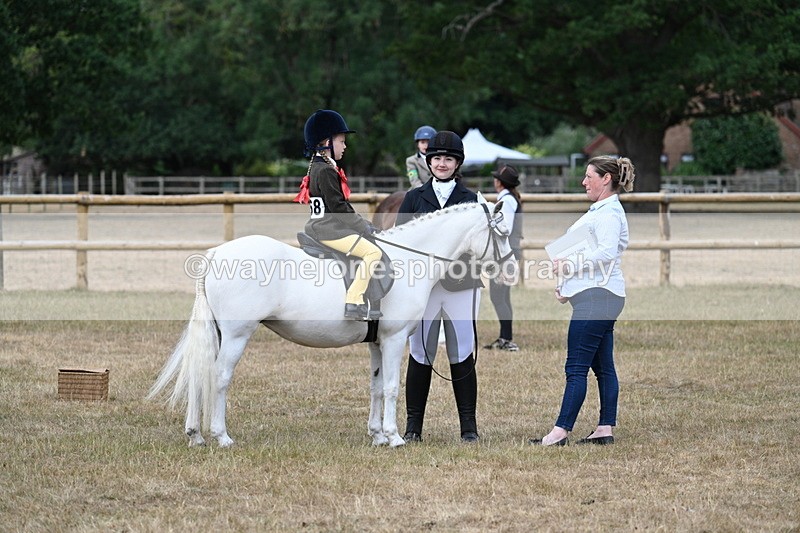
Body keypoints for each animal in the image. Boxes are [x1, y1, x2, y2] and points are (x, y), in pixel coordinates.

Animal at [148, 198, 517, 448]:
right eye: (501, 233)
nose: (511, 269)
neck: (409, 259)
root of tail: (216, 255)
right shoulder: (395, 338)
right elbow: (391, 387)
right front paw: (395, 437)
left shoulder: (377, 343)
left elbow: (375, 386)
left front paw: (377, 435)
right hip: (238, 334)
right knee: (220, 377)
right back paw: (221, 436)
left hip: (221, 333)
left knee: (200, 376)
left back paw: (196, 435)